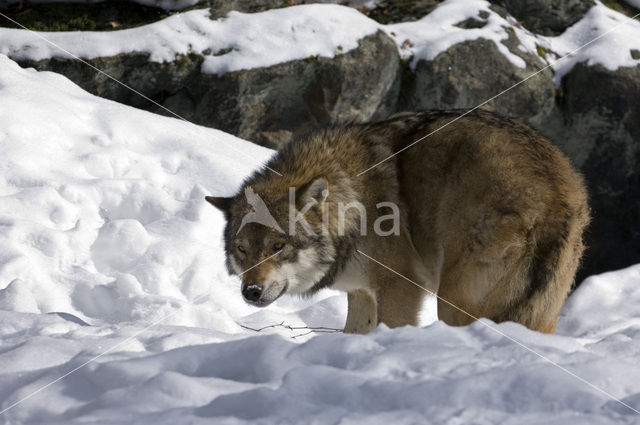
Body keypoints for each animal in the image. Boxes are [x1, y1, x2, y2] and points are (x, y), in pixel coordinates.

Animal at [206, 109, 592, 334]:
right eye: (241, 249)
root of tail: (558, 194)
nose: (251, 291)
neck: (354, 200)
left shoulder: (401, 287)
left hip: (453, 300)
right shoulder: (362, 292)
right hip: (536, 313)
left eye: (278, 245)